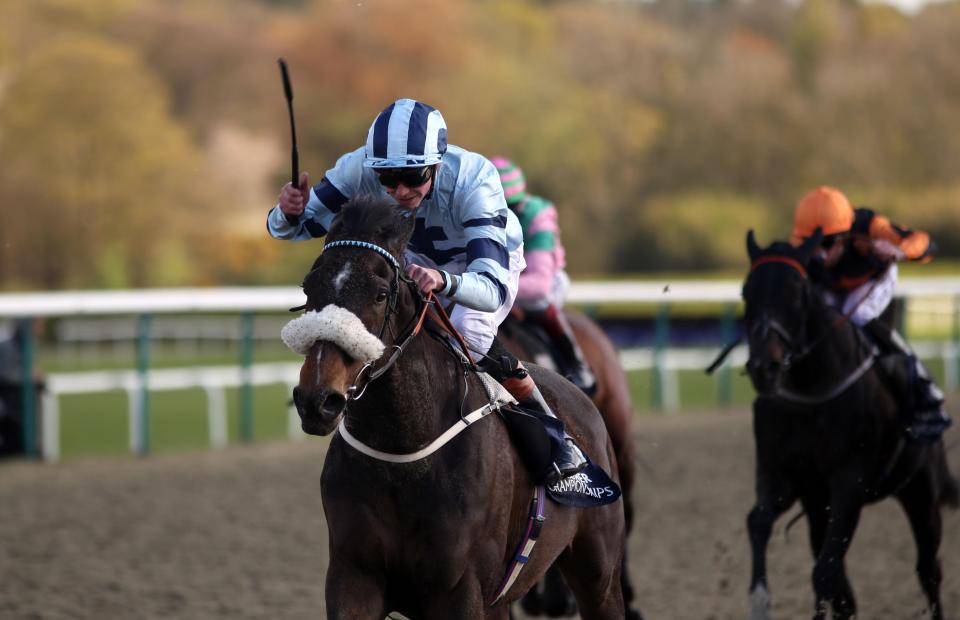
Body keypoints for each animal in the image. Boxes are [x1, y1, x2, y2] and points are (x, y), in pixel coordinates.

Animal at [744, 231, 952, 620]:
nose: (764, 367)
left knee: (928, 570)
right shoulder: (784, 477)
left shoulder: (849, 482)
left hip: (919, 489)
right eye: (746, 292)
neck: (811, 390)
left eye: (797, 292)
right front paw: (759, 599)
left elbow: (825, 572)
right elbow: (759, 522)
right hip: (817, 504)